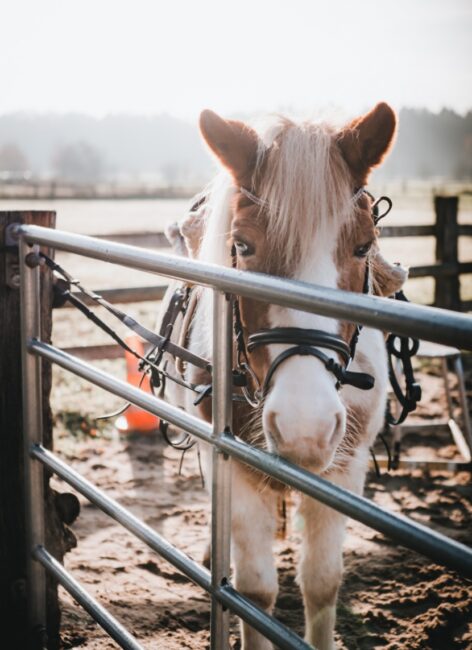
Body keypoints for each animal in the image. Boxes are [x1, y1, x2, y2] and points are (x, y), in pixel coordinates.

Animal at [157, 104, 408, 644]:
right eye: (243, 245)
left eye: (363, 247)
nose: (302, 427)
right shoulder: (234, 468)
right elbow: (255, 594)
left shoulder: (344, 470)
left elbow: (321, 583)